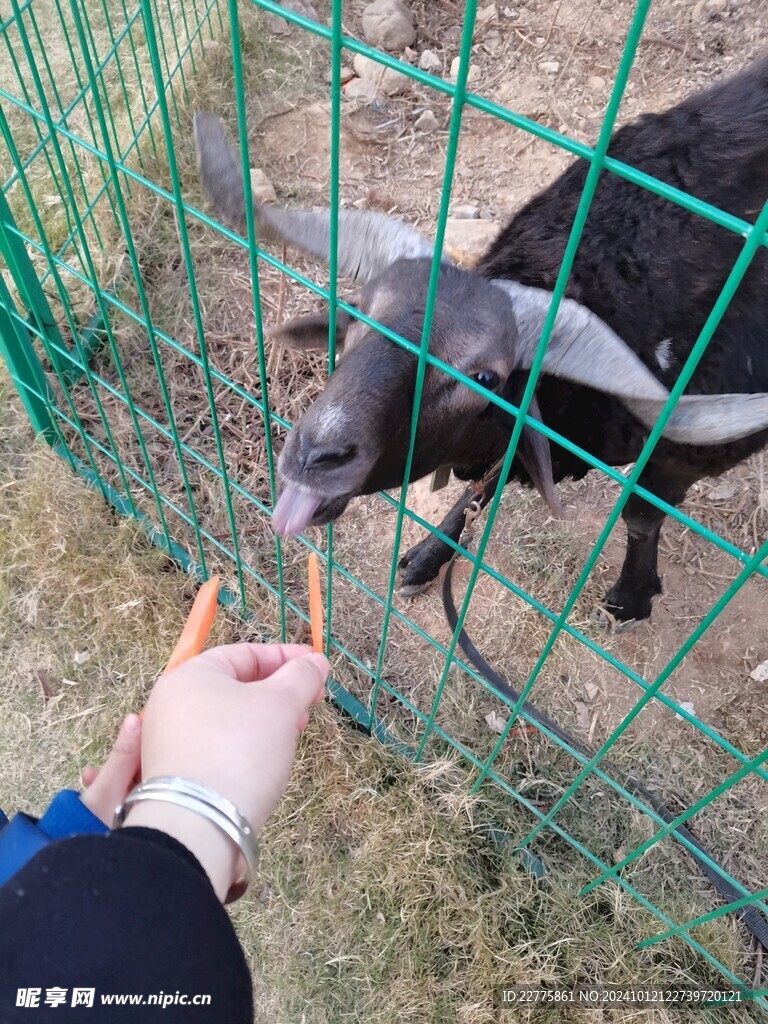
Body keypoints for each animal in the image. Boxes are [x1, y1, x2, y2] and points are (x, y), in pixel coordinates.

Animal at [195, 61, 768, 622]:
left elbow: (641, 513)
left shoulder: (688, 452)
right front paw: (428, 556)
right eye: (356, 315)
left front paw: (631, 596)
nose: (313, 456)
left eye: (486, 377)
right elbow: (486, 480)